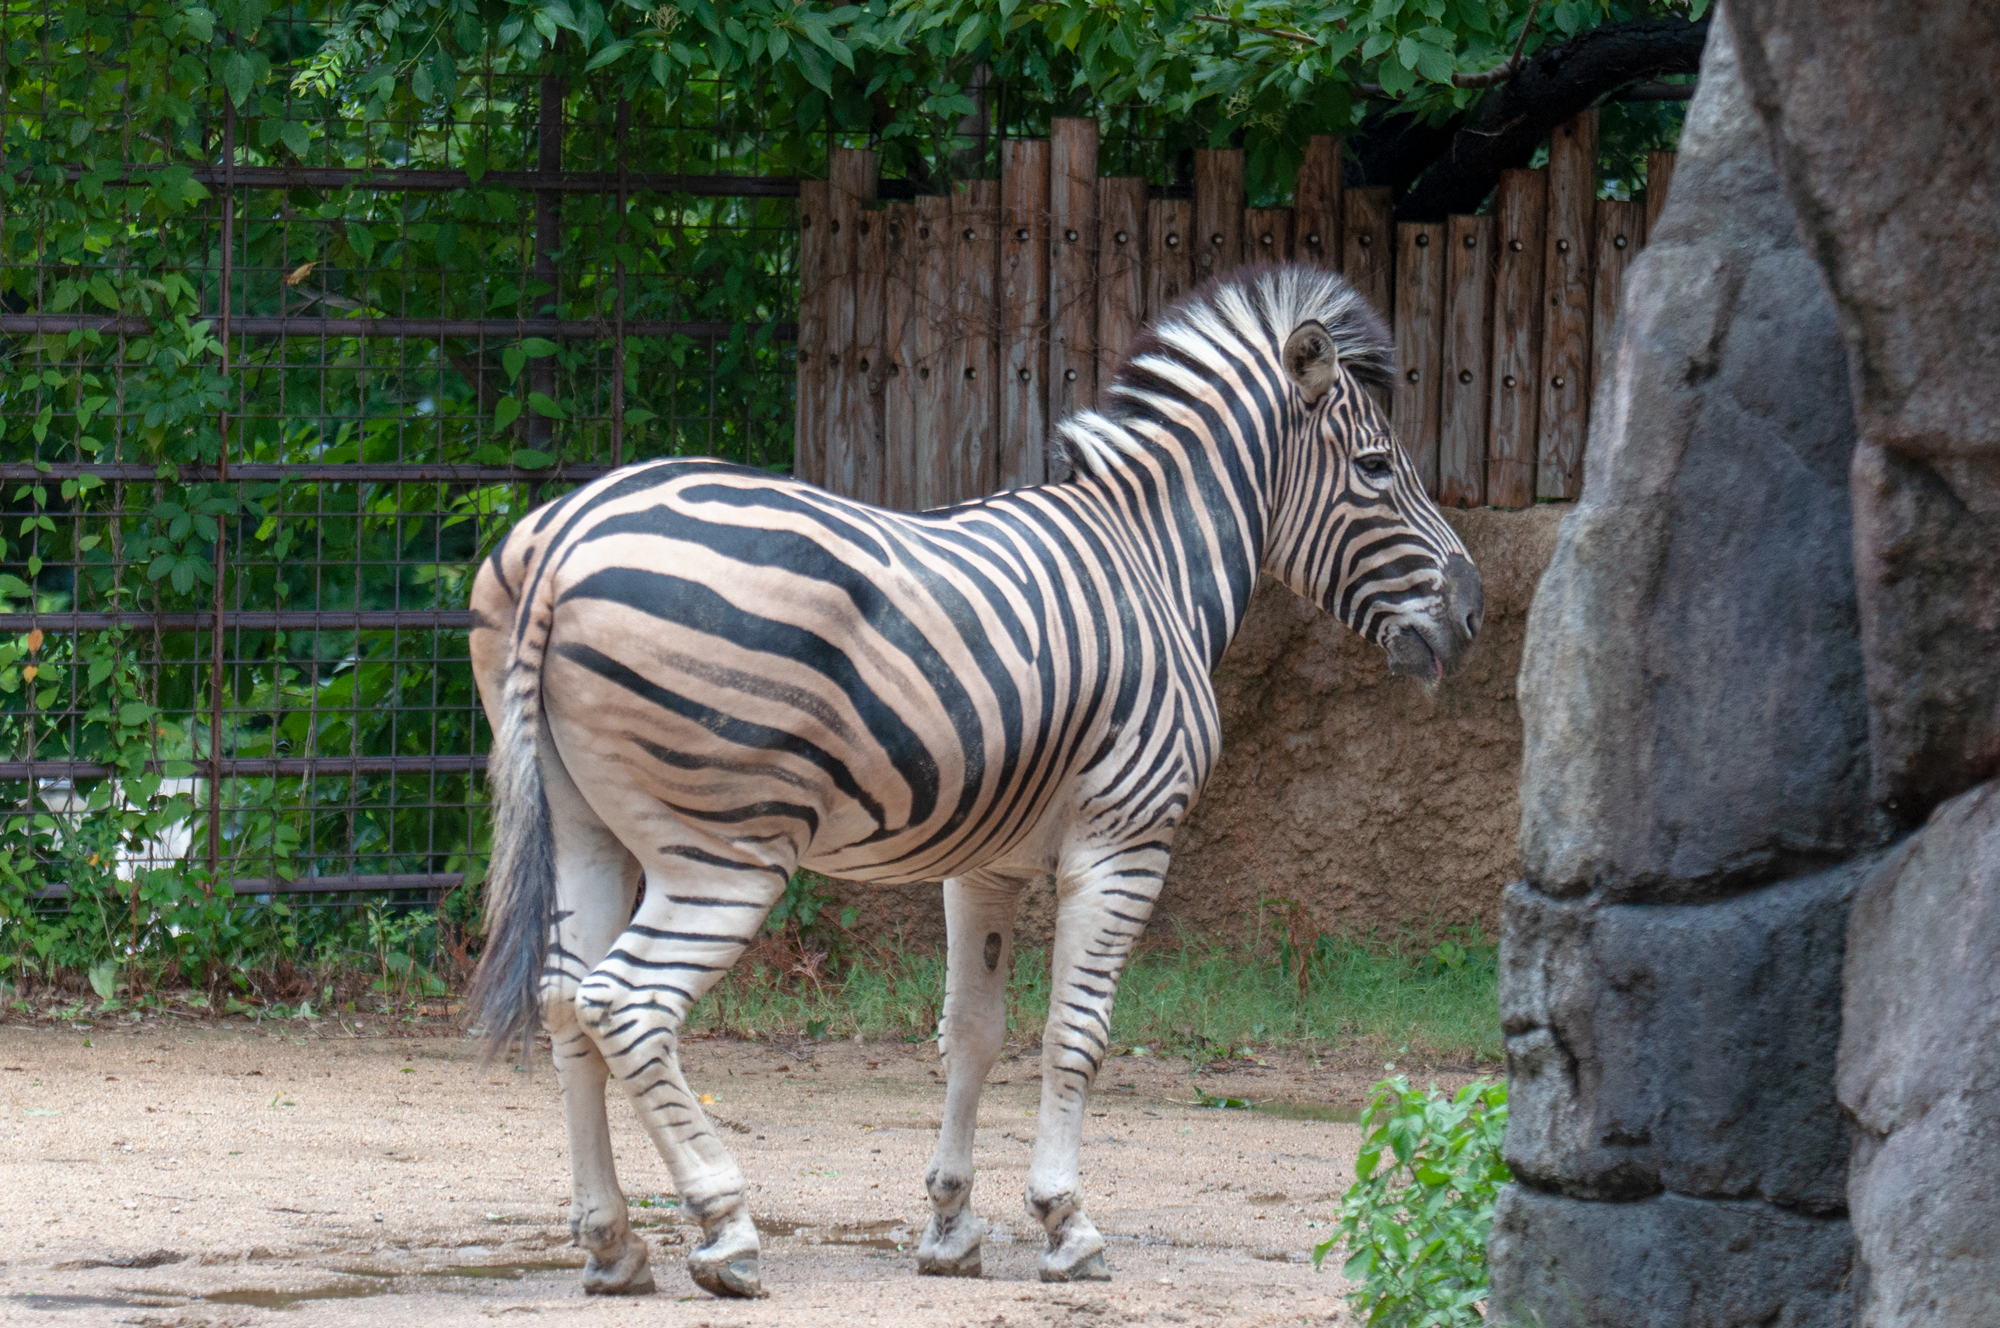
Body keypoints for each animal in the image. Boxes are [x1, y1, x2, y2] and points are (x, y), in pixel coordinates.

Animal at [460, 260, 1480, 1296]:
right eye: (1377, 468)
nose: (1475, 612)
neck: (1153, 564)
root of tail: (564, 538)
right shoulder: (1127, 838)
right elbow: (1077, 1034)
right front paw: (1066, 1222)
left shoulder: (984, 859)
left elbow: (973, 1032)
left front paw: (951, 1225)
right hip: (726, 848)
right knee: (624, 1004)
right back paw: (726, 1225)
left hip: (585, 827)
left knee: (562, 1001)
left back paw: (612, 1243)